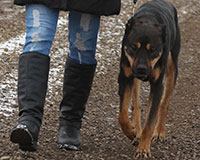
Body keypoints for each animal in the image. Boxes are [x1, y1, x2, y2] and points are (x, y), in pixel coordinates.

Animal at [118, 0, 180, 158]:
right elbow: (122, 115)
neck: (148, 20)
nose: (141, 69)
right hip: (134, 78)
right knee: (136, 104)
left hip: (172, 67)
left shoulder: (157, 85)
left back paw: (159, 132)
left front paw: (143, 149)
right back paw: (137, 131)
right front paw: (132, 133)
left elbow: (150, 121)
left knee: (164, 103)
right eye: (133, 47)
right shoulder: (125, 77)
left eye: (153, 50)